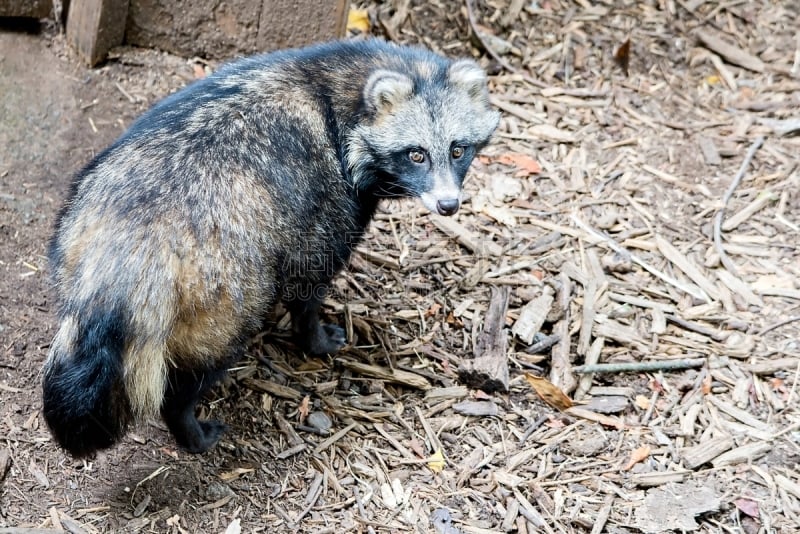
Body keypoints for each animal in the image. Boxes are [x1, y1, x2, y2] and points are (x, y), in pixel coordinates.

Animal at [43, 37, 500, 458]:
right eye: (416, 154)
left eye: (457, 150)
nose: (448, 204)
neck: (342, 87)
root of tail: (129, 246)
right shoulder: (326, 202)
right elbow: (309, 280)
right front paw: (313, 334)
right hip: (224, 293)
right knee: (203, 362)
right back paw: (187, 425)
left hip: (71, 233)